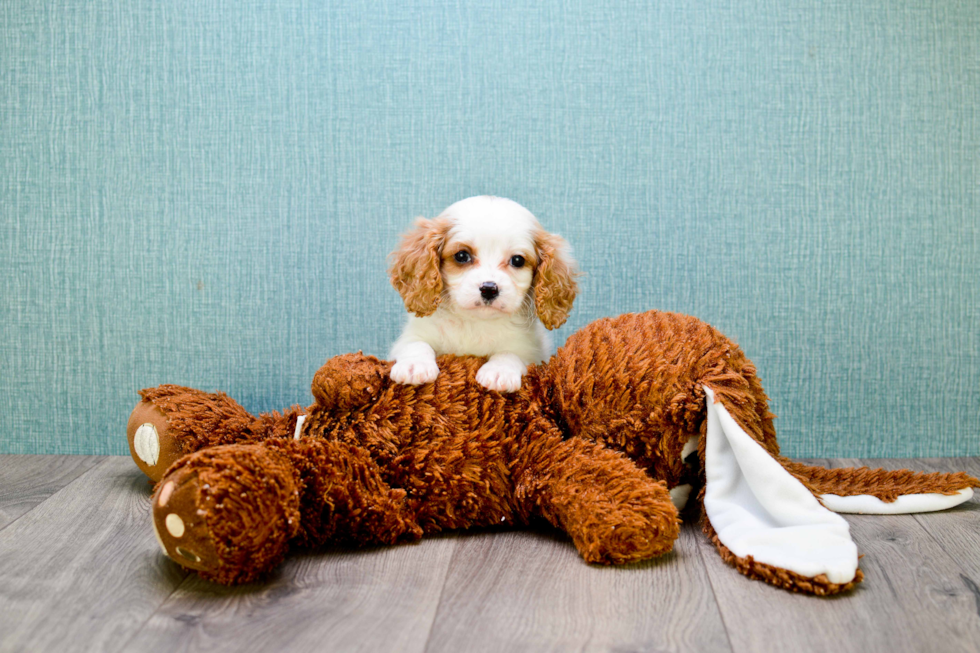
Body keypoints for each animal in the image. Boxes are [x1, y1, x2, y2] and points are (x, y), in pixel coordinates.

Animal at [386, 195, 580, 392]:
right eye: (462, 256)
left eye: (517, 260)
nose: (489, 288)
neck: (476, 322)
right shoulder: (411, 336)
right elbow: (415, 344)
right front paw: (414, 365)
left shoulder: (532, 353)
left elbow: (510, 353)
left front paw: (499, 371)